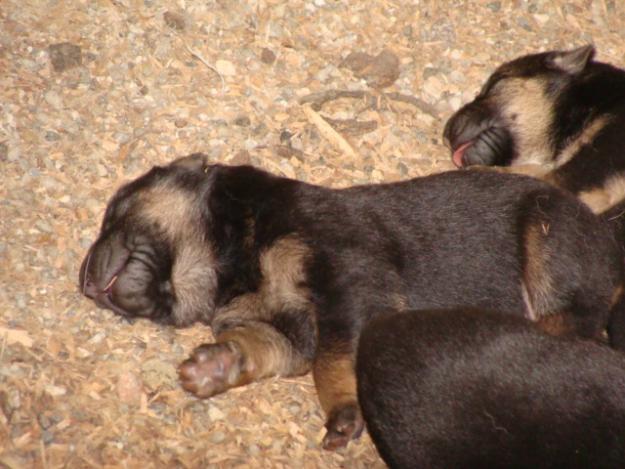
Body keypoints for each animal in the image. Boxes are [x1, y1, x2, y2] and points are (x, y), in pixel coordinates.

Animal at [78, 154, 624, 450]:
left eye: (116, 212)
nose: (83, 281)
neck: (232, 256)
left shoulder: (347, 278)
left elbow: (334, 360)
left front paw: (343, 413)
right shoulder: (282, 332)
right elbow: (258, 348)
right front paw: (213, 365)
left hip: (548, 236)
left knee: (570, 321)